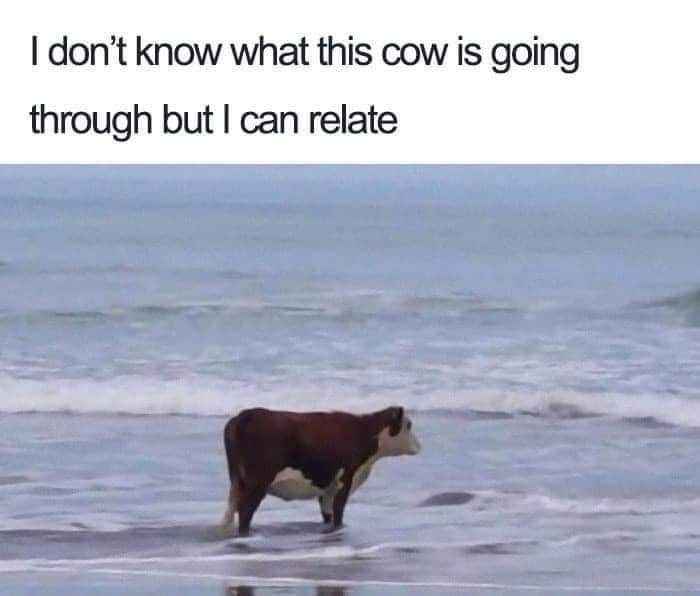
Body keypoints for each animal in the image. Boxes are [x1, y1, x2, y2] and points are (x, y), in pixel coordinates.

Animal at [219, 406, 421, 536]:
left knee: (230, 511)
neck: (363, 431)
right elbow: (338, 512)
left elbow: (328, 513)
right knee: (245, 512)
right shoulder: (345, 480)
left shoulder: (328, 488)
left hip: (236, 481)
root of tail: (243, 416)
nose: (419, 445)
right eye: (409, 425)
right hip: (257, 482)